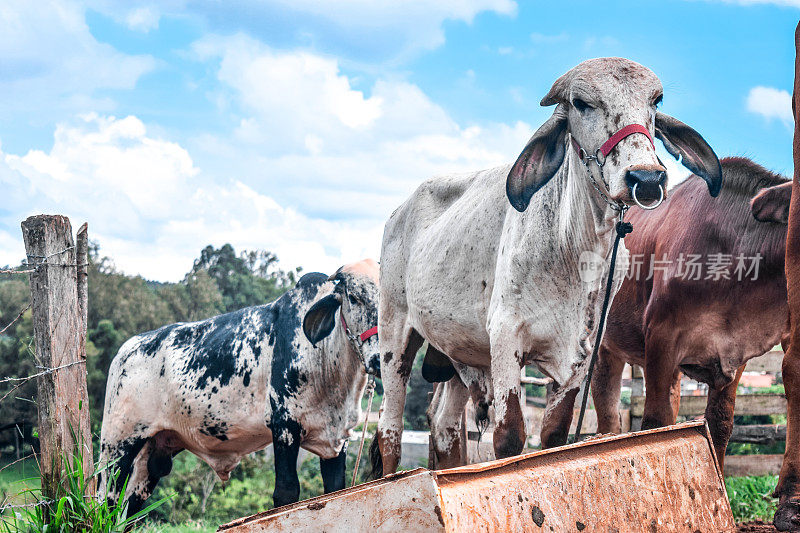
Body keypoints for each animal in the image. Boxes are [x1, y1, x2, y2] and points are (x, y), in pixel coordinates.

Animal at [98, 260, 380, 512]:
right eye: (353, 297)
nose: (378, 358)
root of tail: (125, 350)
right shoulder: (284, 427)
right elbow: (286, 492)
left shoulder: (336, 440)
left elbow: (335, 489)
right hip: (117, 447)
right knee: (106, 501)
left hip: (150, 457)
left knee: (129, 508)